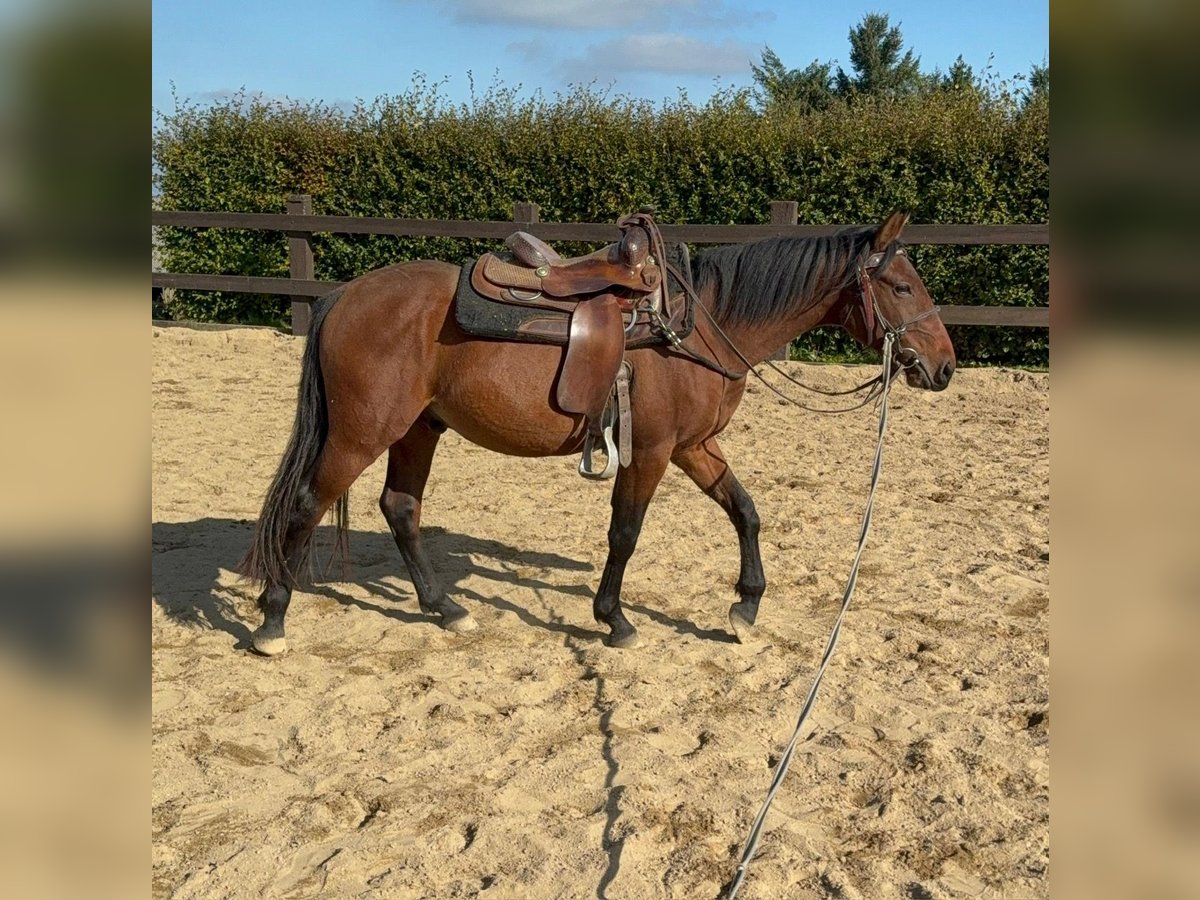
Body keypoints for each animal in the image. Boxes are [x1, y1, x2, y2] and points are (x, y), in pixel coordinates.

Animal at [238, 211, 956, 656]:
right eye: (900, 285)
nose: (945, 366)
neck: (698, 324)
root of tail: (343, 296)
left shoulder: (694, 447)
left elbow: (746, 512)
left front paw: (746, 608)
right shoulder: (654, 453)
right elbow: (625, 534)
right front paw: (615, 619)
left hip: (419, 429)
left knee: (401, 508)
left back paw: (446, 608)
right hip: (361, 435)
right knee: (305, 505)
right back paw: (273, 620)